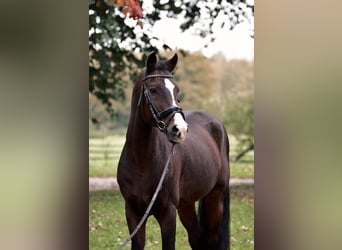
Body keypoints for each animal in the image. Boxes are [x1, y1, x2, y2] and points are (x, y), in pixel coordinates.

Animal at [117, 52, 230, 250]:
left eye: (176, 90)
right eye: (153, 89)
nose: (180, 129)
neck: (141, 161)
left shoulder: (168, 214)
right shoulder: (133, 213)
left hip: (215, 198)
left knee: (211, 239)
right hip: (186, 204)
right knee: (196, 238)